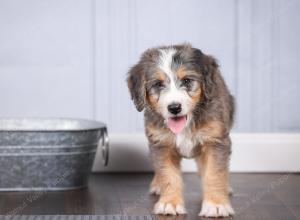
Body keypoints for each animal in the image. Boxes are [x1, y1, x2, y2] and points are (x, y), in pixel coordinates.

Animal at [126, 43, 234, 217]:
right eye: (158, 84)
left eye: (187, 80)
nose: (174, 108)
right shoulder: (160, 144)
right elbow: (168, 174)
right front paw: (169, 203)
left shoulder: (215, 141)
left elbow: (214, 173)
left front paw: (216, 205)